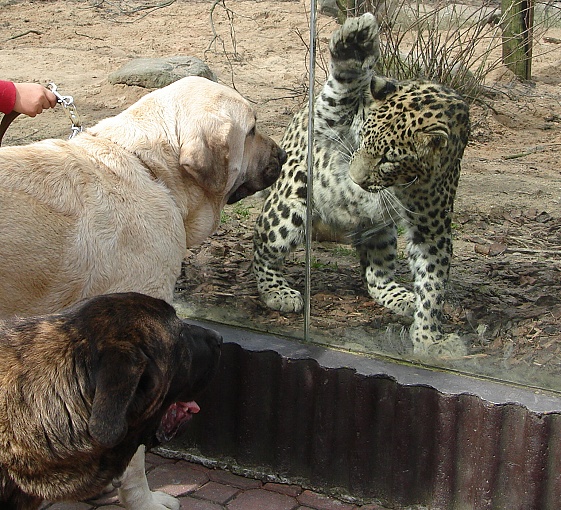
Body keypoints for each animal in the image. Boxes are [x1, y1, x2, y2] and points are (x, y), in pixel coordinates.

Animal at [253, 10, 468, 354]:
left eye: (390, 160)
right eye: (363, 139)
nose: (354, 180)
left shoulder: (432, 225)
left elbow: (433, 282)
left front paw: (429, 338)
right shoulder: (327, 121)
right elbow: (339, 91)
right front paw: (353, 46)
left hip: (382, 231)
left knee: (376, 276)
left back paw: (401, 296)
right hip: (292, 198)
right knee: (262, 246)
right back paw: (278, 292)